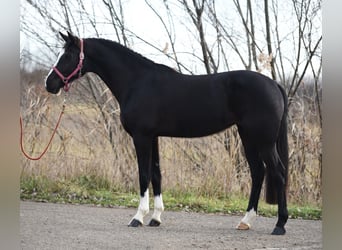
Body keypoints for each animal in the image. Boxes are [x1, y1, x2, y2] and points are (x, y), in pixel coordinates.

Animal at [45, 32, 290, 235]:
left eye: (67, 55)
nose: (50, 83)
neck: (137, 81)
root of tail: (274, 84)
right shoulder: (153, 137)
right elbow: (156, 174)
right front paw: (155, 218)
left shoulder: (141, 137)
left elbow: (143, 175)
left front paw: (137, 217)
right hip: (248, 138)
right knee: (258, 173)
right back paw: (245, 221)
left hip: (264, 141)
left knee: (277, 173)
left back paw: (279, 225)